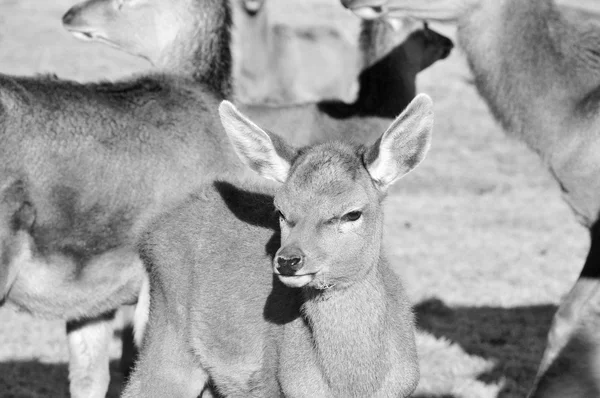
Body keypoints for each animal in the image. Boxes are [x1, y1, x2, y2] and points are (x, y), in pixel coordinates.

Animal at [123, 92, 432, 398]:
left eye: (352, 213)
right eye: (281, 210)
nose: (288, 261)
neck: (354, 385)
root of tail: (151, 231)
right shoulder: (272, 385)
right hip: (168, 336)